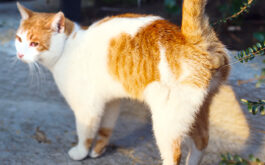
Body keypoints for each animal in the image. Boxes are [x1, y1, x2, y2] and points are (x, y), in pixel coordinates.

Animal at [14, 0, 229, 164]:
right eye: (19, 39)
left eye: (34, 43)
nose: (20, 54)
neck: (69, 47)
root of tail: (190, 39)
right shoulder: (111, 99)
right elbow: (105, 128)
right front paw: (98, 150)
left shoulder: (87, 107)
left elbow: (86, 132)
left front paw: (81, 152)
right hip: (197, 111)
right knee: (201, 142)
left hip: (167, 121)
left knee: (174, 154)